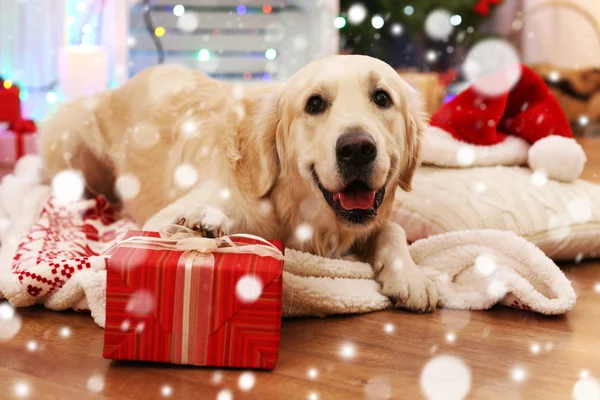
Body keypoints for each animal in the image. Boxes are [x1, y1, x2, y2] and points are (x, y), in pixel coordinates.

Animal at [39, 55, 438, 312]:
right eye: (314, 104)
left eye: (382, 98)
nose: (356, 149)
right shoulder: (161, 219)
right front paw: (203, 224)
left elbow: (393, 229)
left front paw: (410, 276)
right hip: (73, 140)